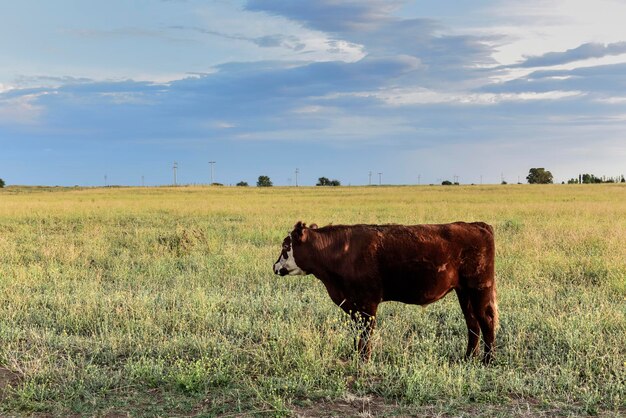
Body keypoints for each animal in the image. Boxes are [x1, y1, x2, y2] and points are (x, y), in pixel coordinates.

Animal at [272, 222, 498, 362]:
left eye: (286, 246)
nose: (275, 266)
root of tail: (476, 225)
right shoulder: (353, 305)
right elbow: (357, 333)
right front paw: (357, 356)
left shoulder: (367, 303)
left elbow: (366, 334)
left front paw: (364, 360)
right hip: (465, 292)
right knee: (472, 324)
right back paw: (468, 358)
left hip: (479, 288)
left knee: (486, 322)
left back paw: (488, 360)